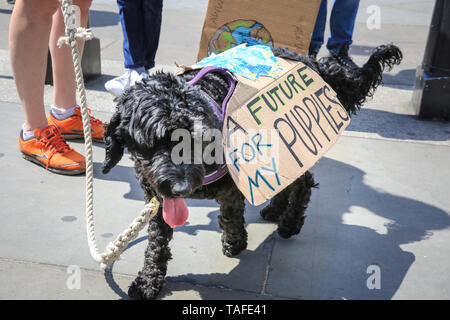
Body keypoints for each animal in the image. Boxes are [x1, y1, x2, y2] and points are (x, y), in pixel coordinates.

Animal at [103, 43, 404, 298]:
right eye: (152, 142)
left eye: (194, 137)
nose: (181, 187)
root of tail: (313, 62)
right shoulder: (159, 200)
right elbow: (156, 241)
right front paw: (149, 280)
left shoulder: (230, 188)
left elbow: (230, 216)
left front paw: (235, 243)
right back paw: (275, 209)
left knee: (304, 183)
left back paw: (290, 223)